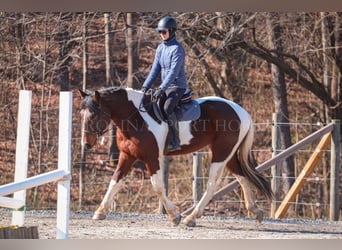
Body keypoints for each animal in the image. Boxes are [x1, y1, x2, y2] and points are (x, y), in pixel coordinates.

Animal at [78, 86, 272, 227]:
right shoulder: (127, 156)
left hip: (221, 153)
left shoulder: (151, 158)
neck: (136, 118)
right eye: (81, 114)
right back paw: (255, 211)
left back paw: (191, 217)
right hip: (229, 154)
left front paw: (174, 215)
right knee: (241, 177)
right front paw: (100, 211)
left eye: (94, 115)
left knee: (212, 184)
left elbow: (157, 186)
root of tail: (241, 111)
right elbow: (115, 181)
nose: (86, 144)